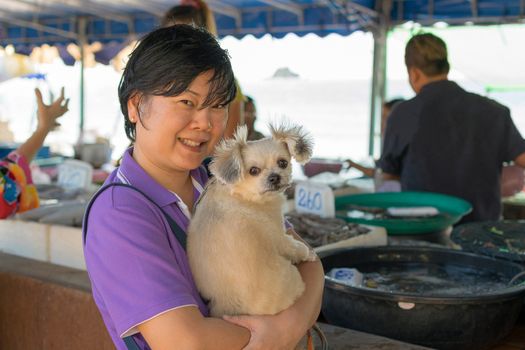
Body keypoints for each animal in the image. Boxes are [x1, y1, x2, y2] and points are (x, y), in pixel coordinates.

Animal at [190, 123, 318, 318]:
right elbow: (296, 247)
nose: (274, 177)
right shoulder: (278, 236)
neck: (242, 193)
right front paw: (309, 253)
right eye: (253, 171)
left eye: (282, 162)